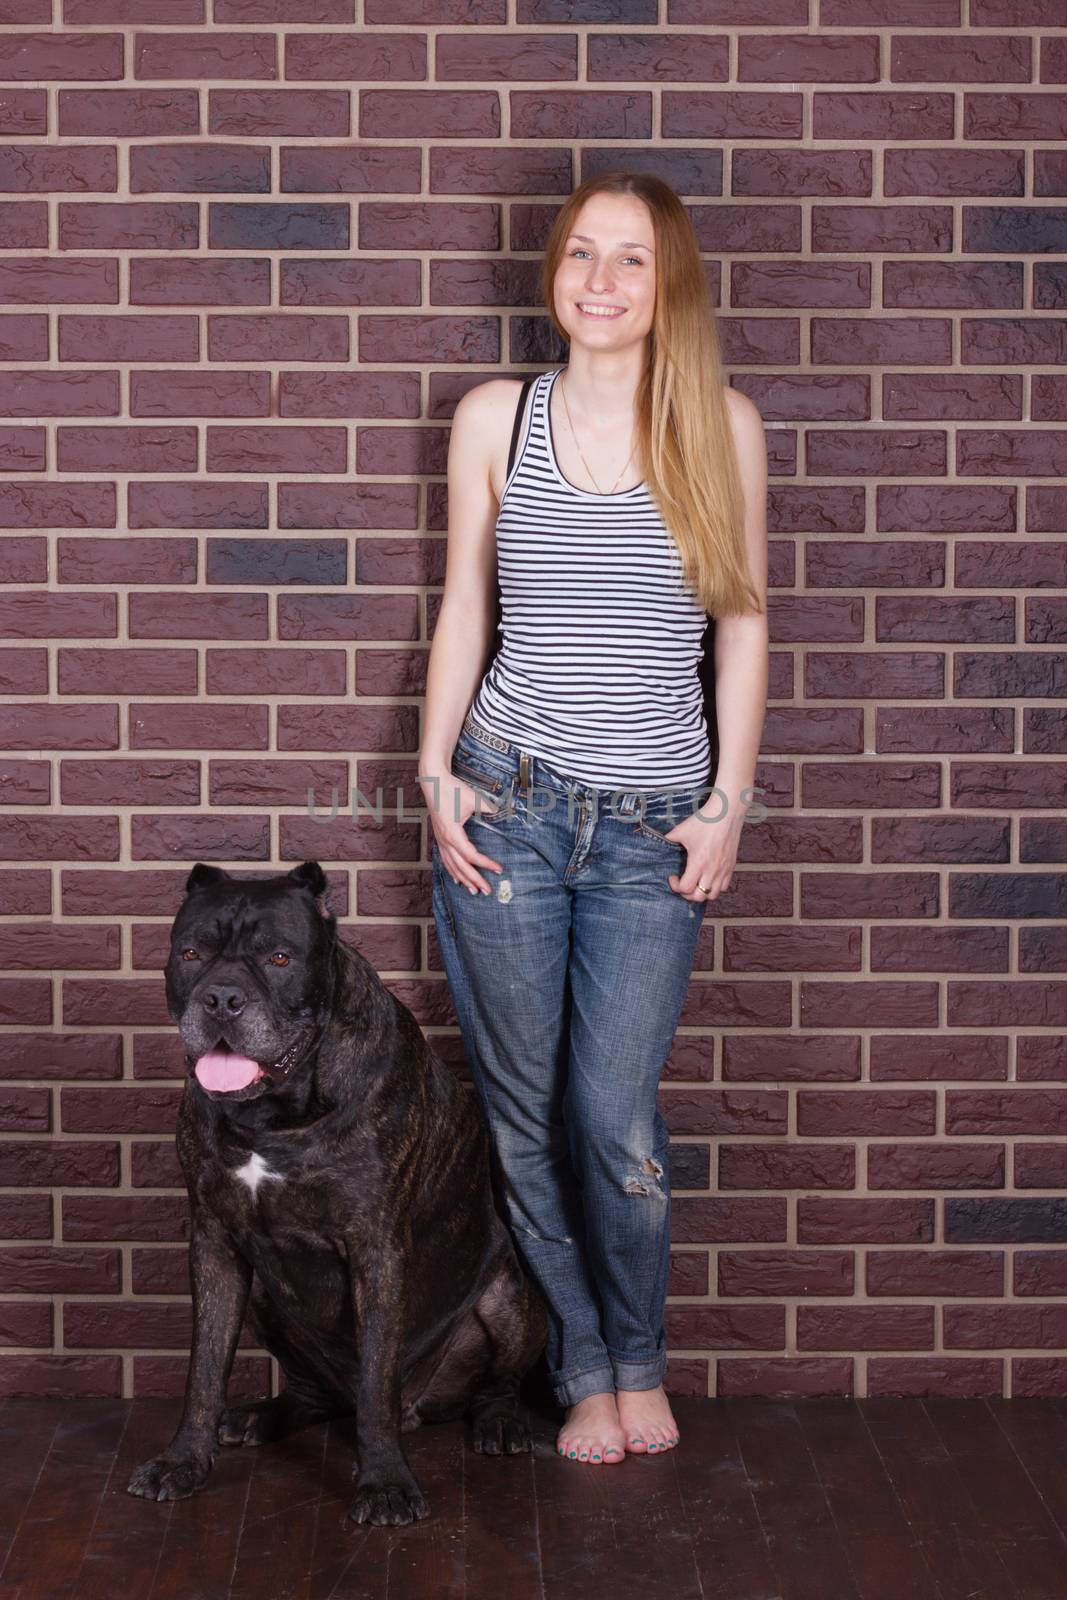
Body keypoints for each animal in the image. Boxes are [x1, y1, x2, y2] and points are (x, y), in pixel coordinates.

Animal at [127, 864, 547, 1523]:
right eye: (190, 954)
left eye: (279, 957)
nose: (221, 998)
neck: (275, 1114)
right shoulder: (215, 1246)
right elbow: (204, 1369)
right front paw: (183, 1461)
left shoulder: (377, 1251)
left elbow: (378, 1379)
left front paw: (385, 1482)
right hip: (264, 1297)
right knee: (312, 1392)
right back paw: (263, 1416)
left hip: (511, 1297)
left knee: (490, 1383)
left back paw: (498, 1424)